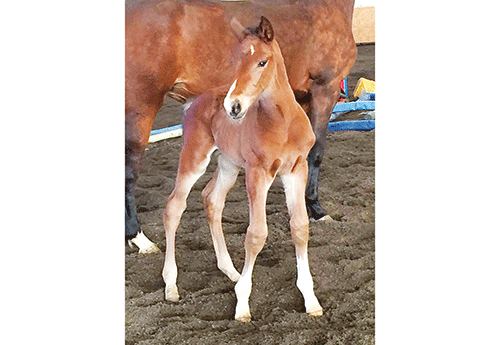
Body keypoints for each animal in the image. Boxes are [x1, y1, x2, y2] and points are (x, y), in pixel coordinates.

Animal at [162, 16, 322, 322]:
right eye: (235, 61)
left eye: (262, 62)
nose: (233, 106)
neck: (282, 123)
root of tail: (194, 101)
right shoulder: (257, 172)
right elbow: (256, 234)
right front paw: (243, 306)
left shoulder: (297, 169)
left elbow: (300, 227)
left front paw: (311, 301)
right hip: (195, 157)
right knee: (175, 206)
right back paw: (171, 285)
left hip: (228, 164)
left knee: (212, 199)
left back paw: (231, 271)